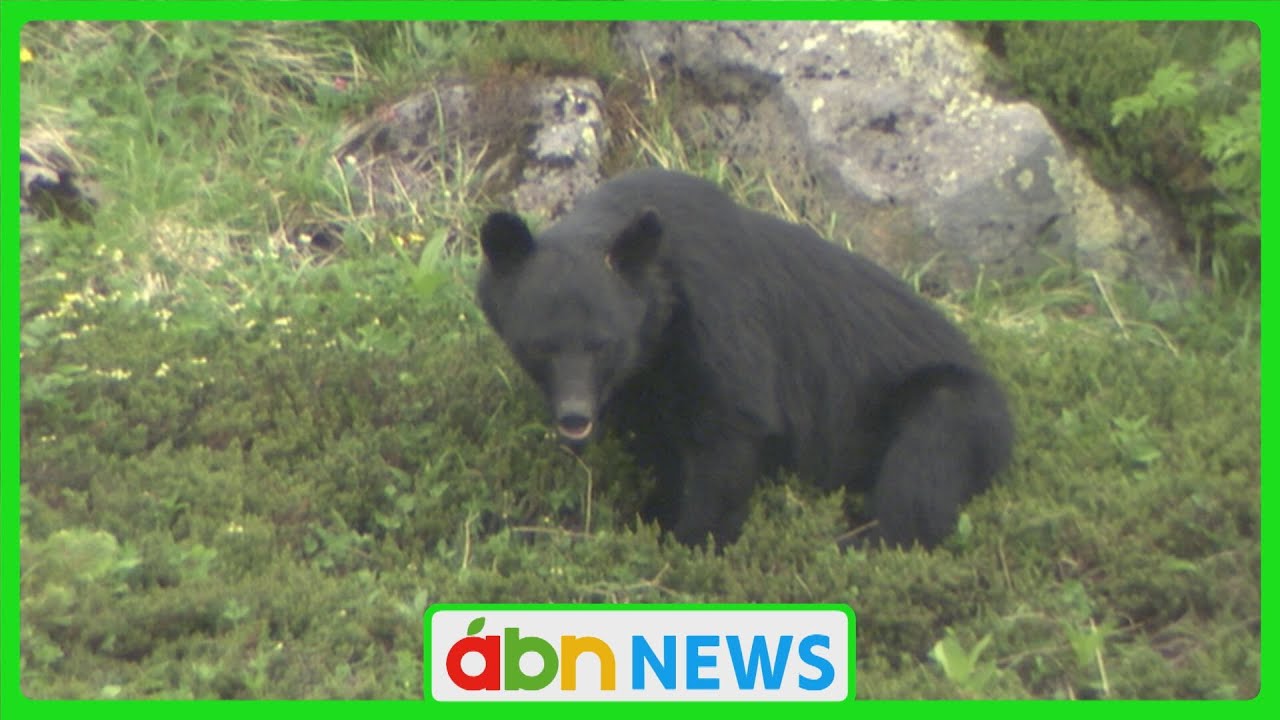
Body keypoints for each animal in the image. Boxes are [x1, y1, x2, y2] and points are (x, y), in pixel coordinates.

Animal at [476, 168, 1013, 549]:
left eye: (603, 343)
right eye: (540, 344)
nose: (575, 416)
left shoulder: (720, 317)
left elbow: (731, 429)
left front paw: (694, 543)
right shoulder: (647, 387)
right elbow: (660, 450)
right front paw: (652, 517)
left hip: (956, 408)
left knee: (923, 470)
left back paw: (857, 545)